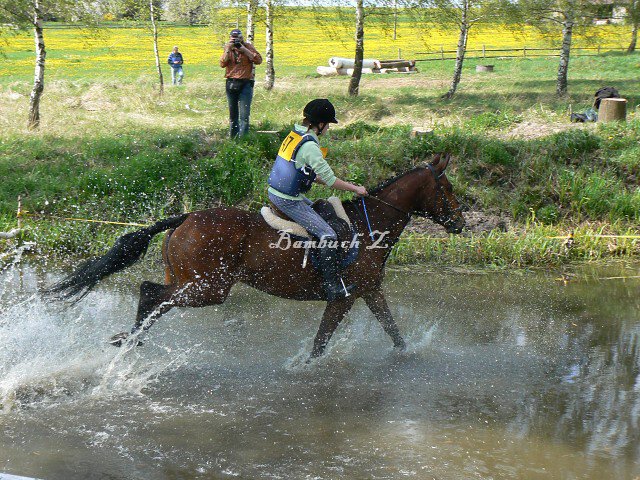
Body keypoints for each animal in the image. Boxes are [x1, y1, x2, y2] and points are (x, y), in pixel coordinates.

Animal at [45, 153, 464, 356]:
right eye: (448, 189)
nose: (461, 223)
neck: (368, 224)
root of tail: (186, 218)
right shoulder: (343, 298)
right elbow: (321, 342)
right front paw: (303, 368)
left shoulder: (369, 291)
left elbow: (393, 331)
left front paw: (408, 357)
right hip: (208, 288)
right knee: (151, 294)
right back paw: (129, 340)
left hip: (189, 280)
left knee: (154, 297)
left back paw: (130, 340)